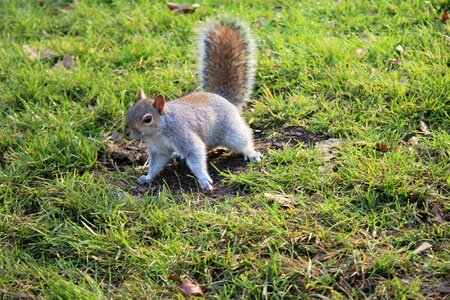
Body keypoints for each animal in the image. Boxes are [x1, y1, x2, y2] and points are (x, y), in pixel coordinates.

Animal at [125, 17, 262, 191]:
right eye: (129, 112)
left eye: (147, 119)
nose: (126, 133)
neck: (160, 132)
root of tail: (221, 97)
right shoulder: (158, 150)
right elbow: (156, 165)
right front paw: (147, 177)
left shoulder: (183, 135)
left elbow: (196, 154)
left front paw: (204, 179)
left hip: (232, 130)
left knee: (243, 139)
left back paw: (251, 153)